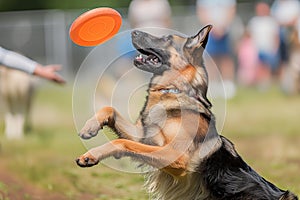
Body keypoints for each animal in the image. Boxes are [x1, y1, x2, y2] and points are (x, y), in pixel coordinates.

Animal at [75, 25, 298, 200]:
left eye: (167, 39)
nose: (132, 31)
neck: (173, 92)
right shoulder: (146, 137)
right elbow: (109, 109)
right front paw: (89, 127)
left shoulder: (173, 155)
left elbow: (121, 142)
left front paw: (91, 155)